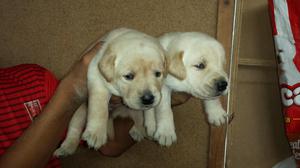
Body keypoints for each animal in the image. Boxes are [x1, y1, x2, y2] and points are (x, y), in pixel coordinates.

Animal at [54, 27, 166, 156]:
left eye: (158, 74)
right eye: (128, 76)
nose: (148, 99)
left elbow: (150, 110)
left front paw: (152, 124)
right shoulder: (96, 76)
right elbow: (99, 106)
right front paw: (96, 133)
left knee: (138, 119)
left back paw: (139, 131)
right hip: (80, 110)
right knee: (74, 128)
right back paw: (65, 148)